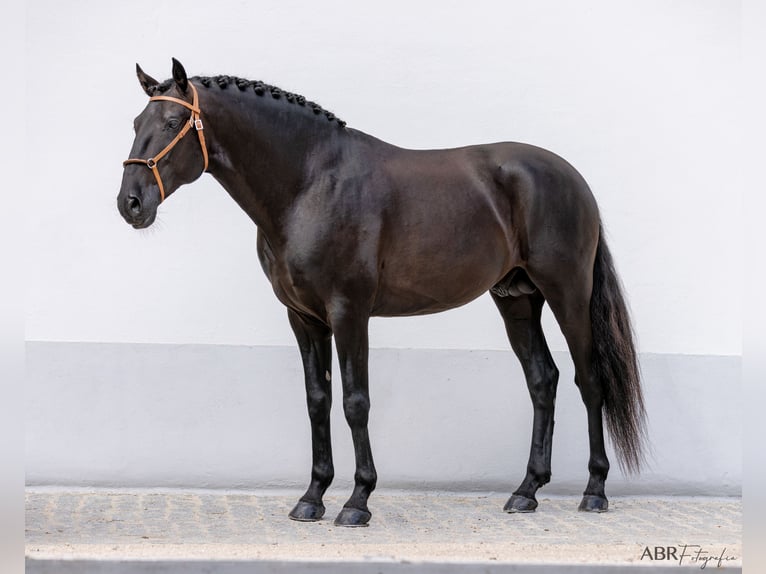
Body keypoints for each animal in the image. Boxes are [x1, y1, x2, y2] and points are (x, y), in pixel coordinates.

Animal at [118, 58, 648, 528]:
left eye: (172, 122)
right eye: (136, 122)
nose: (131, 203)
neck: (310, 183)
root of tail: (571, 177)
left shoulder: (349, 311)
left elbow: (356, 402)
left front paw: (357, 501)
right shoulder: (303, 318)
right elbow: (317, 400)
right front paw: (312, 498)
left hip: (567, 292)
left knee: (589, 379)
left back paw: (594, 492)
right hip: (516, 299)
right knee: (543, 380)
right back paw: (526, 491)